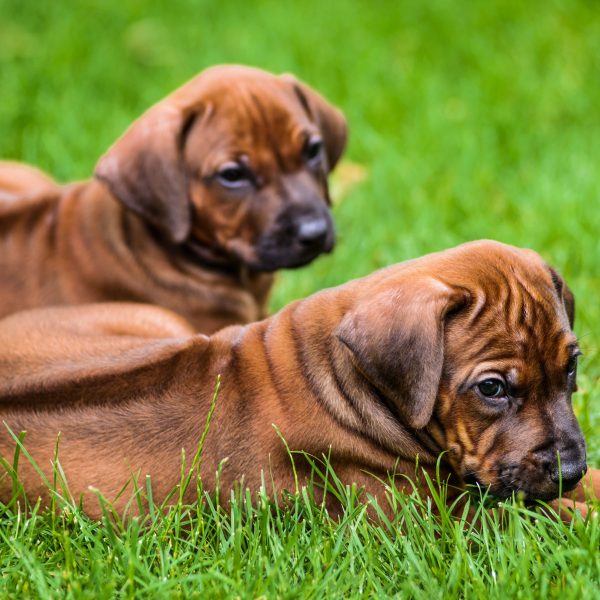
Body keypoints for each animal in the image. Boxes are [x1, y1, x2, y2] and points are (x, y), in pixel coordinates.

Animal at [0, 240, 596, 520]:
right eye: (492, 388)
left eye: (571, 367)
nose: (569, 468)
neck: (343, 383)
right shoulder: (442, 520)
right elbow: (554, 518)